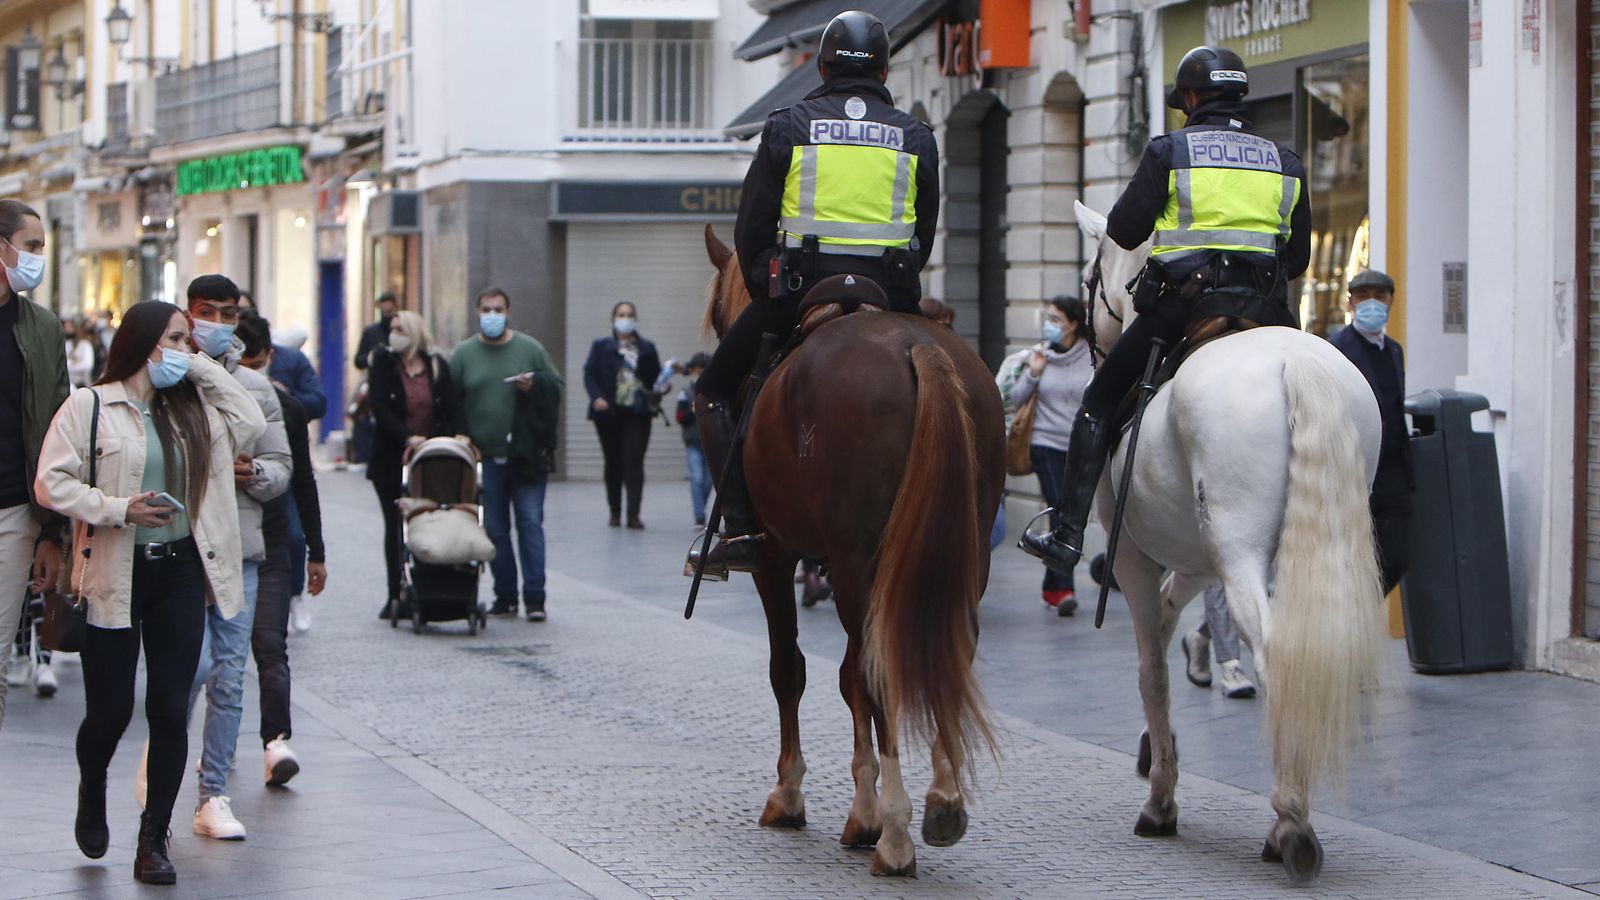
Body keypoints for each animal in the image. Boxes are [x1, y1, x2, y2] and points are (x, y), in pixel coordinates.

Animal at [699, 224, 1006, 876]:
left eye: (715, 311)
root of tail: (919, 350)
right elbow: (847, 678)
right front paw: (860, 808)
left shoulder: (777, 558)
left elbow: (790, 670)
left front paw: (794, 795)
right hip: (957, 557)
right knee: (945, 648)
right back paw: (944, 800)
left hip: (854, 562)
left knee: (879, 666)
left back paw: (897, 834)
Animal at [1069, 201, 1384, 882]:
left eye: (1089, 278)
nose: (1094, 341)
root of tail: (1296, 364)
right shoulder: (1195, 561)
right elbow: (1166, 625)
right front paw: (1155, 752)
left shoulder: (1133, 557)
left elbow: (1151, 668)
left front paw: (1161, 797)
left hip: (1238, 554)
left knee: (1274, 654)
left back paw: (1291, 822)